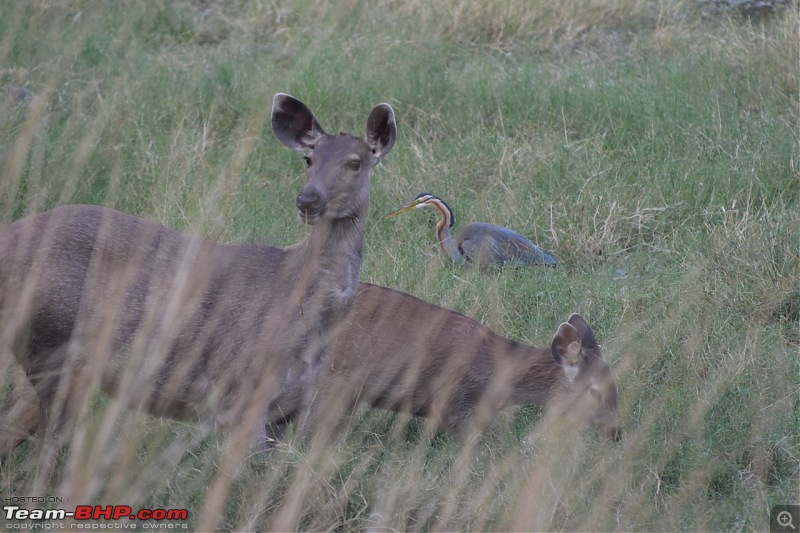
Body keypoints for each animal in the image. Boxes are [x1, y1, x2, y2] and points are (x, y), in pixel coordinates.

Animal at [0, 91, 398, 458]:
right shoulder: (243, 395)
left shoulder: (286, 412)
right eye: (309, 159)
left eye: (355, 162)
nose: (308, 200)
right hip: (51, 346)